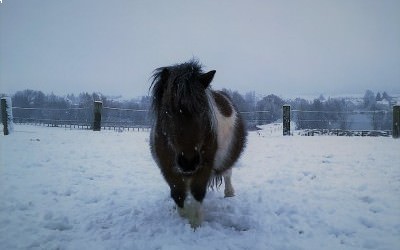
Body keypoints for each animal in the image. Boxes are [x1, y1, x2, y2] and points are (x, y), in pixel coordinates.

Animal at [148, 59, 245, 228]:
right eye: (168, 110)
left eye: (202, 110)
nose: (189, 162)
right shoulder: (167, 168)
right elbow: (178, 193)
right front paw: (184, 215)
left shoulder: (204, 166)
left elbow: (197, 192)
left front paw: (195, 223)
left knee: (227, 174)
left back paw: (229, 193)